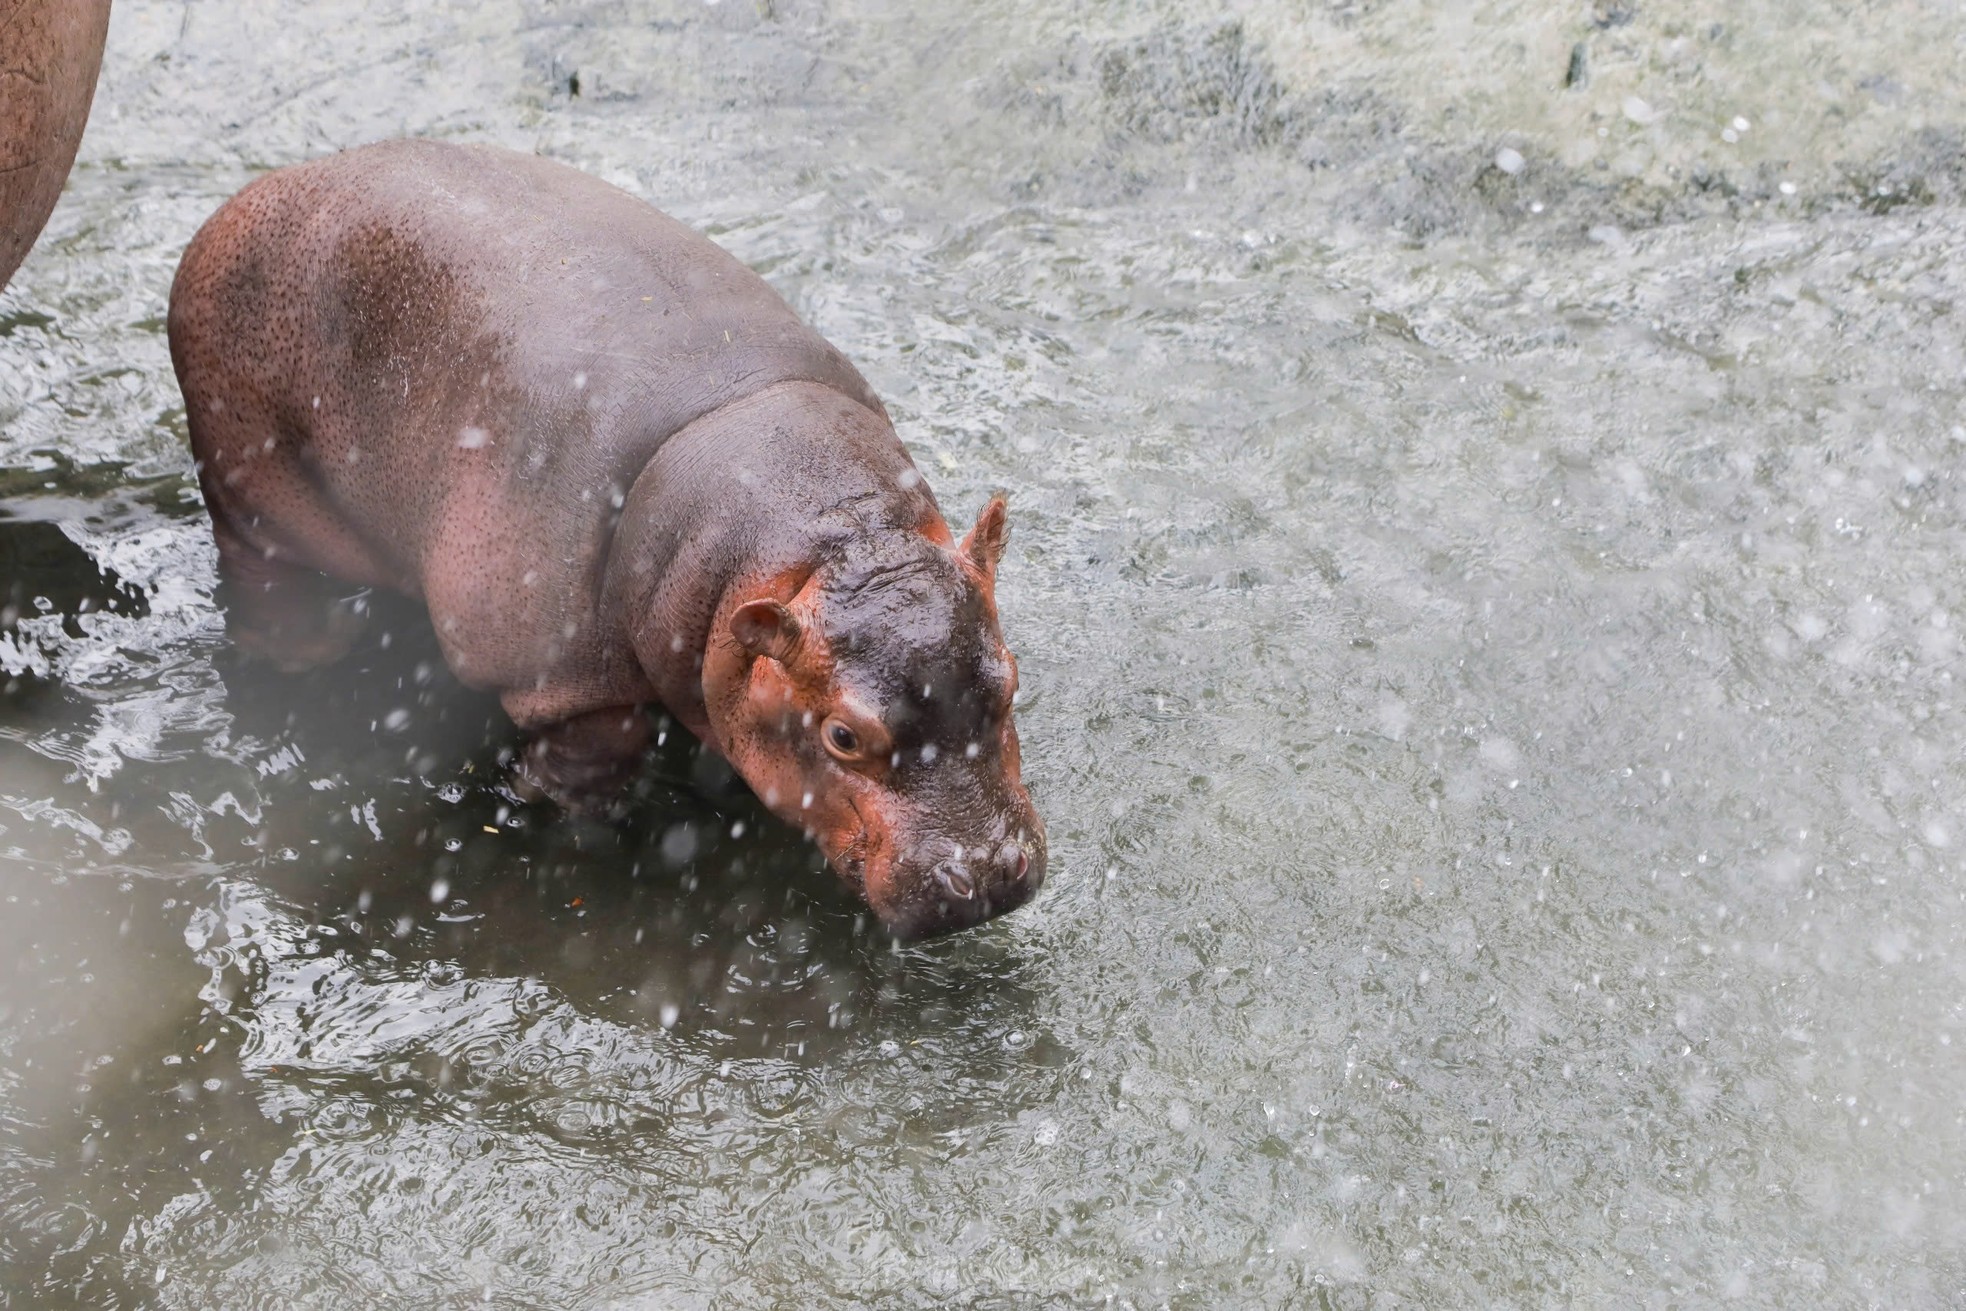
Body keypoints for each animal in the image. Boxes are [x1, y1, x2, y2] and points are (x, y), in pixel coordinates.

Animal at [173, 141, 1045, 943]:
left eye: (1009, 680)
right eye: (843, 734)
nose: (985, 875)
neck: (825, 539)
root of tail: (238, 203)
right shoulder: (560, 668)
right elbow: (601, 743)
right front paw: (535, 795)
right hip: (252, 492)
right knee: (267, 587)